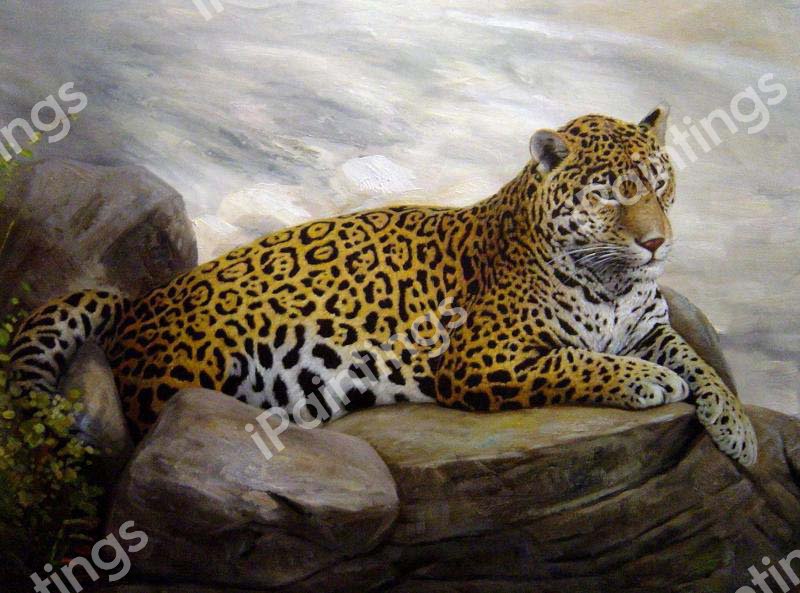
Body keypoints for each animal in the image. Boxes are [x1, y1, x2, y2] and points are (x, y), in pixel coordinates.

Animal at [9, 106, 757, 465]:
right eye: (608, 196)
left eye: (659, 183)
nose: (657, 242)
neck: (612, 283)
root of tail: (138, 302)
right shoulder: (482, 358)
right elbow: (579, 362)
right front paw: (645, 381)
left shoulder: (650, 326)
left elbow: (699, 363)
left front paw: (738, 430)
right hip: (184, 373)